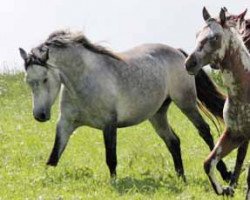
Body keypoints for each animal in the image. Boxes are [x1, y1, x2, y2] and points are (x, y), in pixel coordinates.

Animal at [19, 30, 230, 180]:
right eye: (28, 81)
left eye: (45, 79)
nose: (40, 115)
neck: (83, 80)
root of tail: (178, 52)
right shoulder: (65, 124)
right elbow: (53, 157)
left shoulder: (109, 125)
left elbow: (111, 158)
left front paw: (114, 184)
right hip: (157, 114)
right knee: (173, 141)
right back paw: (181, 177)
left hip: (186, 103)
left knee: (204, 131)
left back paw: (224, 174)